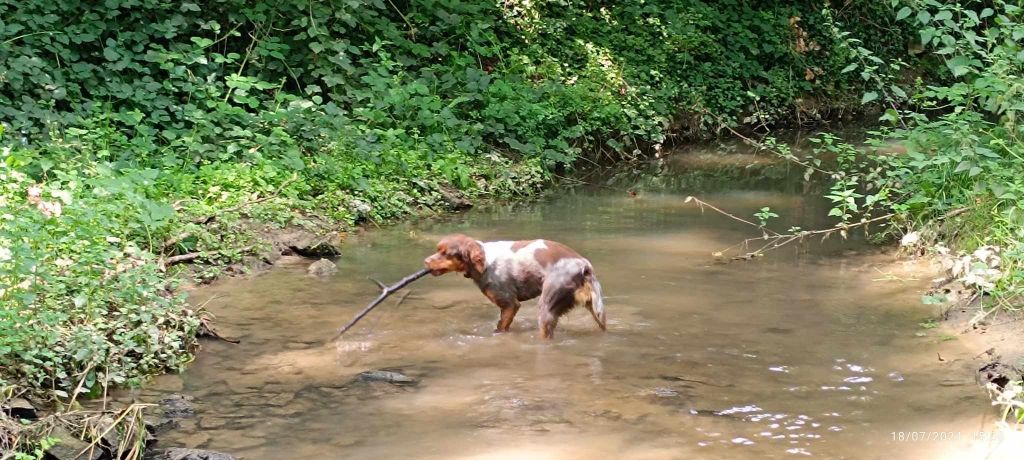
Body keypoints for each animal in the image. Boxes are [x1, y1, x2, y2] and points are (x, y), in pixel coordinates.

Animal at [425, 233, 606, 336]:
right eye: (438, 249)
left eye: (446, 254)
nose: (425, 262)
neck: (484, 262)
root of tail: (583, 266)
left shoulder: (510, 304)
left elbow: (500, 328)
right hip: (597, 310)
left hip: (546, 308)